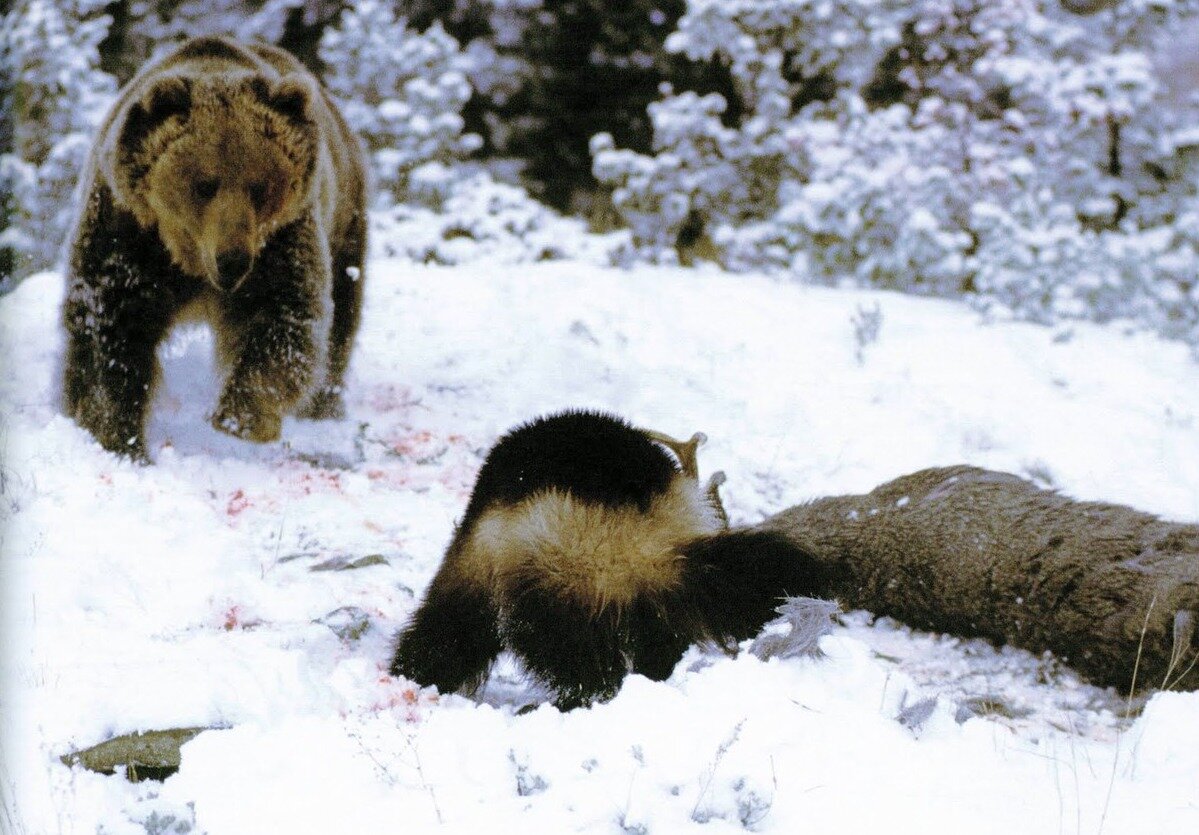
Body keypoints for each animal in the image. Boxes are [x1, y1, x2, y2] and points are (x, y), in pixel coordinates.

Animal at [60, 35, 366, 460]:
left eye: (259, 186)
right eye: (205, 184)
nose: (232, 260)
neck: (188, 258)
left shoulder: (280, 239)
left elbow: (282, 314)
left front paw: (239, 417)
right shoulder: (129, 233)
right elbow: (109, 326)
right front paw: (117, 436)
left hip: (344, 220)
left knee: (343, 310)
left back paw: (323, 405)